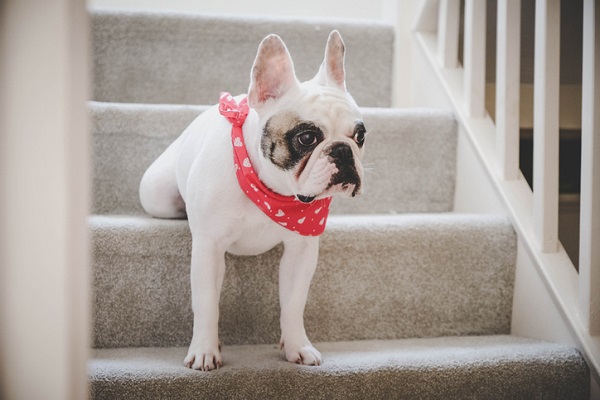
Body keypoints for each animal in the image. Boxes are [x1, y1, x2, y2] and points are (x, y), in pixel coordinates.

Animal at [141, 29, 366, 370]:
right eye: (307, 138)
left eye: (361, 136)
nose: (342, 150)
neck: (273, 193)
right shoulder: (208, 248)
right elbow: (206, 304)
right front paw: (205, 350)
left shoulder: (301, 251)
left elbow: (293, 304)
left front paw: (297, 345)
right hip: (155, 194)